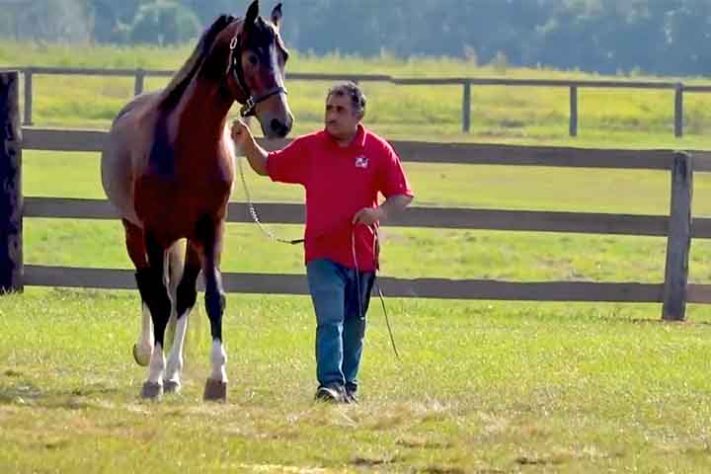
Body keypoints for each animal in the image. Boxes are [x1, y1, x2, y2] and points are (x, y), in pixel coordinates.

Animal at [100, 0, 293, 401]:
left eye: (283, 55)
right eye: (251, 57)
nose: (281, 123)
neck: (184, 144)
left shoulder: (210, 228)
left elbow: (210, 297)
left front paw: (215, 377)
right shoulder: (154, 231)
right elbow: (159, 300)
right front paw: (152, 378)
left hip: (187, 239)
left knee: (182, 294)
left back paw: (173, 373)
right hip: (134, 232)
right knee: (147, 286)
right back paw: (146, 353)